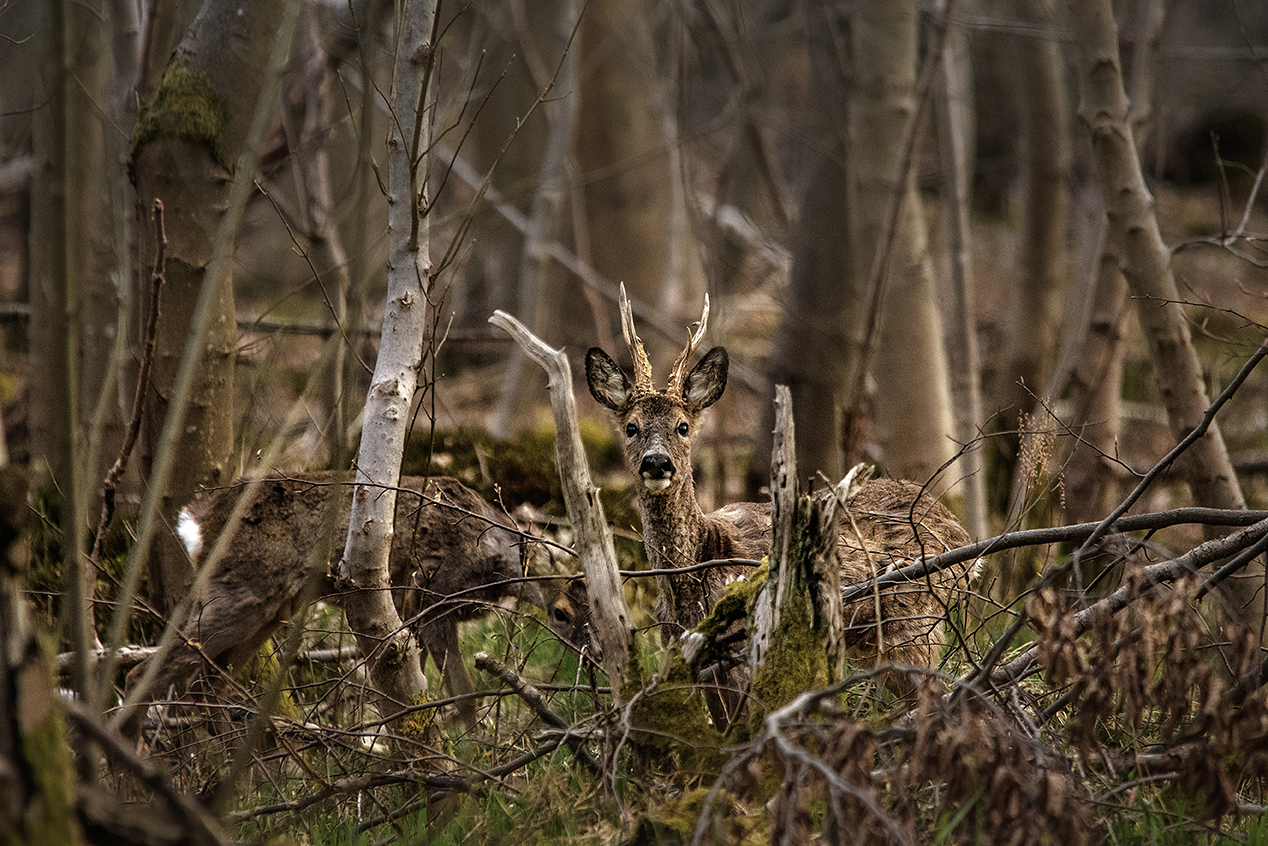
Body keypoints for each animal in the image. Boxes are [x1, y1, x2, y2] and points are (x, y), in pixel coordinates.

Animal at [126, 474, 585, 730]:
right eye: (560, 613)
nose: (590, 655)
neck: (490, 555)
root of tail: (197, 519)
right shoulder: (430, 594)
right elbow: (464, 695)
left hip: (270, 612)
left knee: (205, 686)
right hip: (242, 591)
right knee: (144, 673)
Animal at [588, 289, 973, 710]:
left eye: (683, 426)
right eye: (631, 427)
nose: (657, 463)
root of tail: (960, 534)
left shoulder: (742, 649)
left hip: (913, 619)